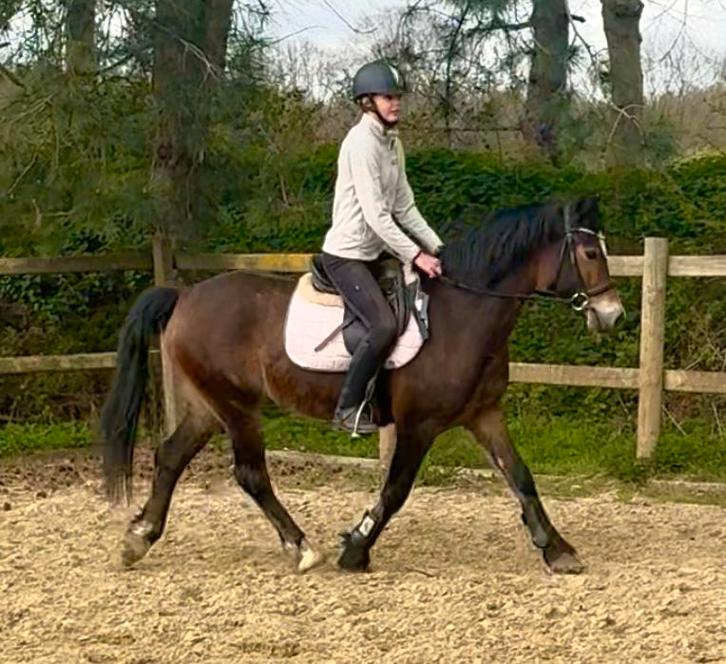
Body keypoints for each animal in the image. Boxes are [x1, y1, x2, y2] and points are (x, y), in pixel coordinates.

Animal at [101, 195, 624, 575]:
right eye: (589, 252)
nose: (613, 315)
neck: (463, 312)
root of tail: (184, 294)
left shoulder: (484, 414)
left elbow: (521, 477)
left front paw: (557, 550)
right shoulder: (419, 424)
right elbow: (396, 490)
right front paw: (355, 548)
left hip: (207, 406)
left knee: (170, 457)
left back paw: (137, 539)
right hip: (236, 407)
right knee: (250, 474)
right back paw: (301, 548)